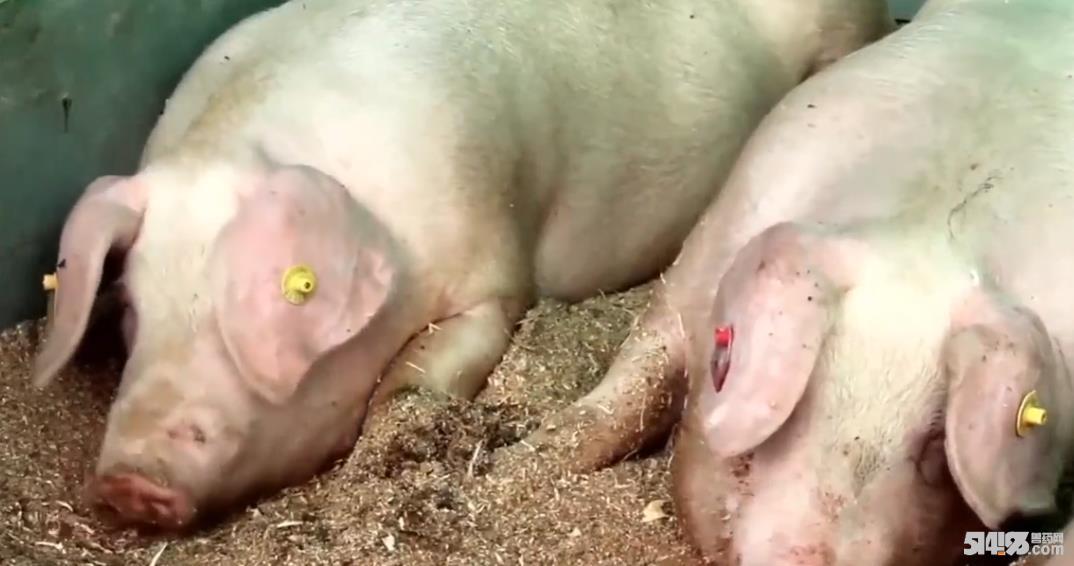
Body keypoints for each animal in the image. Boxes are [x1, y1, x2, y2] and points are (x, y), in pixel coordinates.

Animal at [507, 0, 1074, 563]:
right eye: (803, 401)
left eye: (935, 444)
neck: (926, 224)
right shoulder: (694, 269)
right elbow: (628, 391)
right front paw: (515, 460)